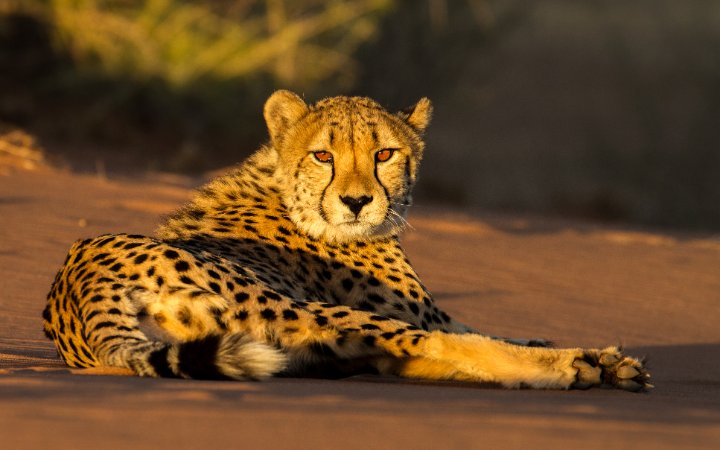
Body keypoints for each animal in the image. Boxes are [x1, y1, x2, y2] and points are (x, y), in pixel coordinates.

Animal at [40, 89, 652, 390]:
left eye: (384, 153)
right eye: (323, 155)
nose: (357, 202)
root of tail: (77, 271)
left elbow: (507, 333)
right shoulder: (423, 315)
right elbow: (474, 335)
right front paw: (586, 356)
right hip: (299, 309)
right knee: (435, 346)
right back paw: (574, 369)